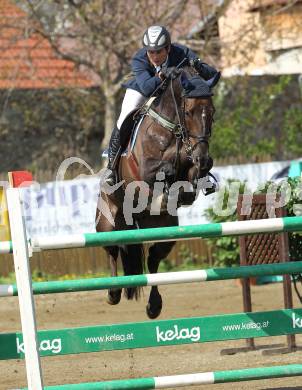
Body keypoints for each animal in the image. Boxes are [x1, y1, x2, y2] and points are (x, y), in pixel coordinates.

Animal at [95, 65, 216, 318]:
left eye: (212, 112)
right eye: (188, 112)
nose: (202, 157)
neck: (173, 129)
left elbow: (190, 177)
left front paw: (193, 180)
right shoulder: (146, 168)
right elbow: (162, 169)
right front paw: (169, 177)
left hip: (167, 229)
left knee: (153, 260)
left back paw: (154, 306)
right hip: (106, 223)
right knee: (111, 250)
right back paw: (113, 292)